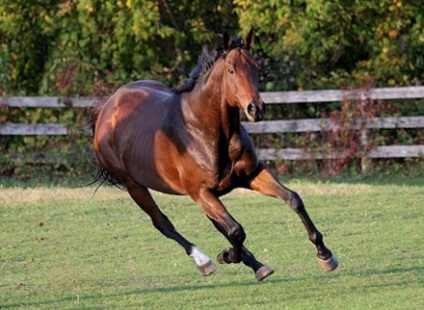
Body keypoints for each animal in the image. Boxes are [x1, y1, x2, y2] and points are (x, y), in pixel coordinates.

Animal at [92, 31, 338, 280]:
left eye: (256, 67)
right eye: (231, 70)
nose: (256, 109)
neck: (204, 130)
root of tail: (107, 109)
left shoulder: (251, 175)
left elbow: (293, 199)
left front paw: (325, 256)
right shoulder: (200, 191)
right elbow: (236, 230)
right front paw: (227, 255)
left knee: (218, 224)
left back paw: (255, 264)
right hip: (135, 186)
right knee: (163, 223)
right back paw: (204, 261)